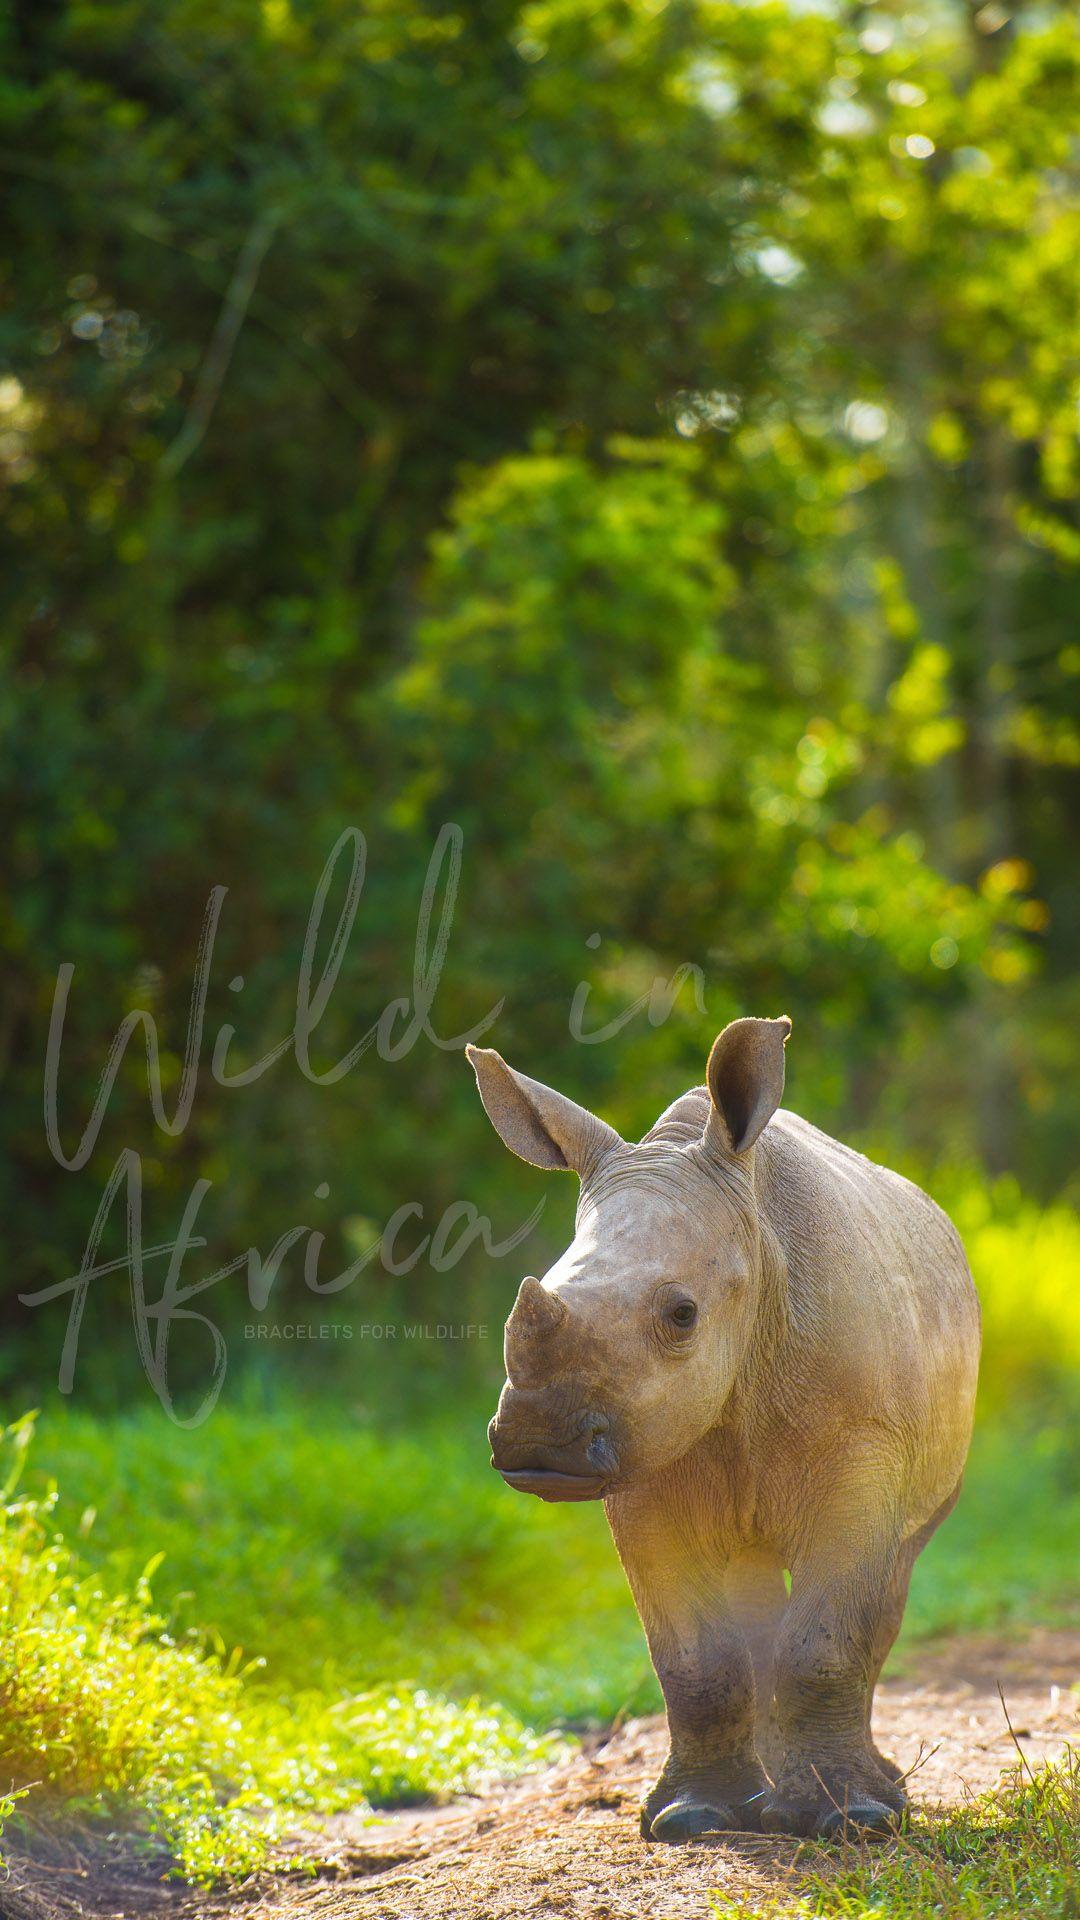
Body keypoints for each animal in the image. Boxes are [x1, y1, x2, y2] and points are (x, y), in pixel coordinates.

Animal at [467, 1017, 980, 1841]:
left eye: (682, 1315)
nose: (537, 1441)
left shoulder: (865, 1445)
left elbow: (824, 1639)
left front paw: (850, 1819)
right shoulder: (642, 1458)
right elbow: (693, 1657)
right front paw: (692, 1818)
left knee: (891, 1580)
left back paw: (870, 1793)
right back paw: (765, 1800)